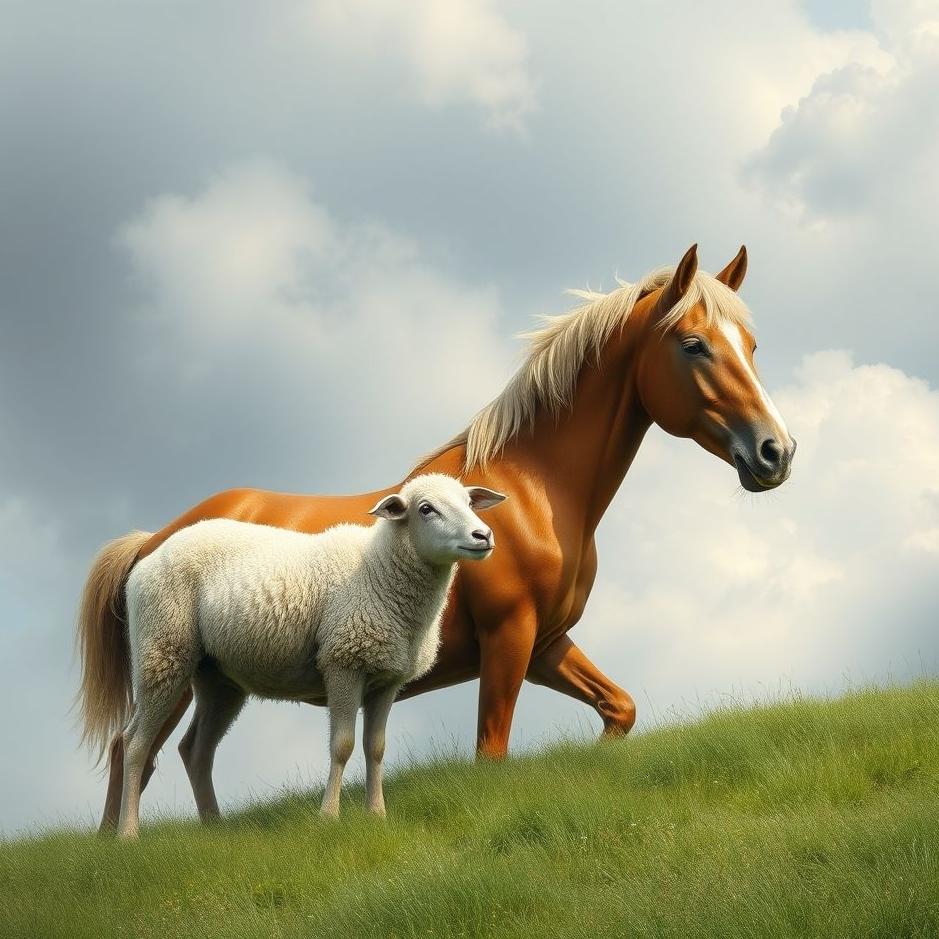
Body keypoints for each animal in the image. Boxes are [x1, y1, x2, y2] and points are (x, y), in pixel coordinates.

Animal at [115, 473, 506, 838]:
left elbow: (376, 747)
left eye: (468, 502)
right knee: (134, 743)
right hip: (162, 649)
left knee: (196, 749)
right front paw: (329, 816)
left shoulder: (386, 679)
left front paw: (377, 815)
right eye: (426, 509)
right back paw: (128, 833)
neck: (379, 571)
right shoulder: (344, 661)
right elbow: (343, 745)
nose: (483, 535)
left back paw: (214, 827)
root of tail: (148, 554)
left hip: (217, 677)